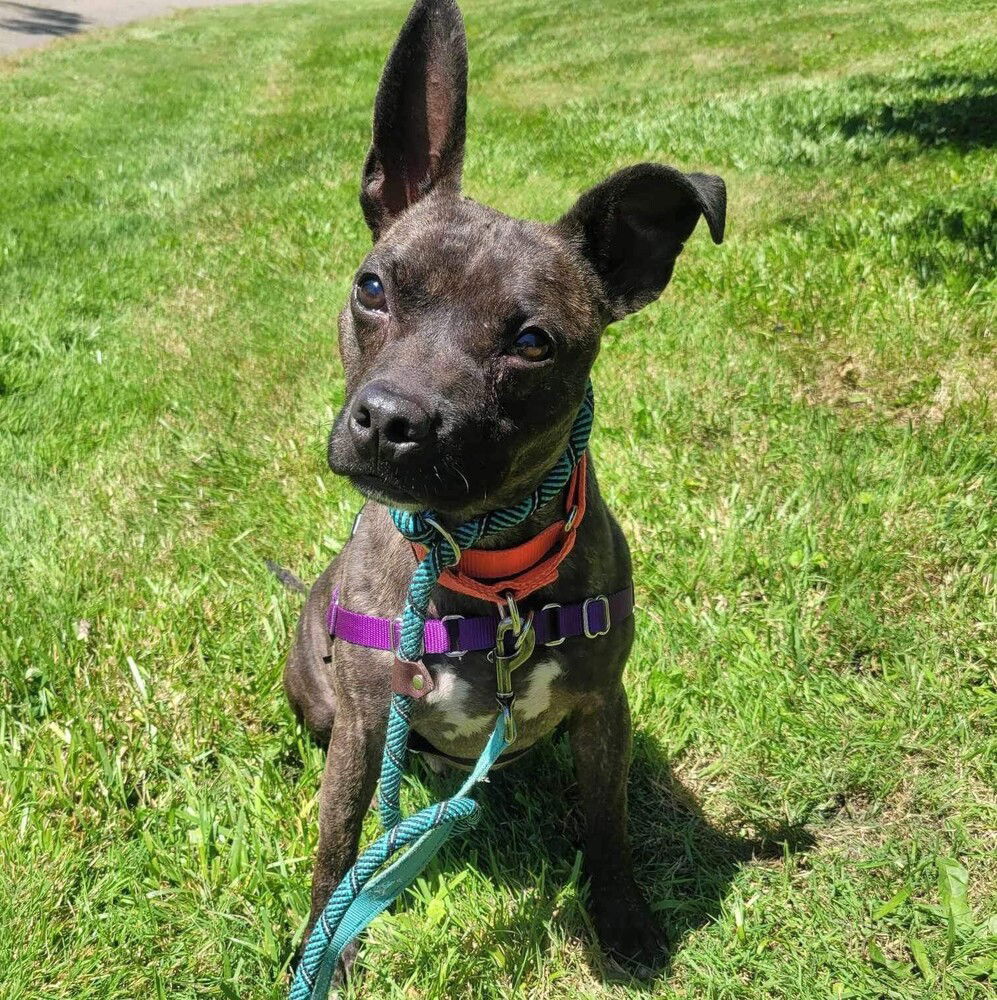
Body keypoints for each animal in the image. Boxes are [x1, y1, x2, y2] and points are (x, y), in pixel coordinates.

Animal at [284, 0, 728, 972]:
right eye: (372, 288)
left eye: (531, 343)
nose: (391, 419)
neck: (484, 564)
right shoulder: (365, 726)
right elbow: (336, 849)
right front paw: (319, 944)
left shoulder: (604, 708)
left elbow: (607, 822)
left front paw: (622, 917)